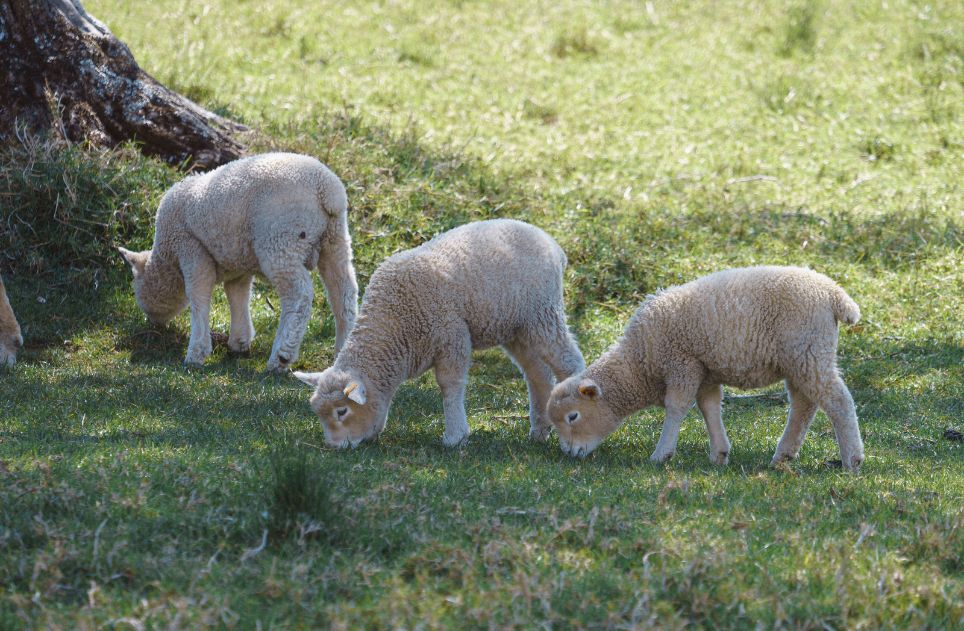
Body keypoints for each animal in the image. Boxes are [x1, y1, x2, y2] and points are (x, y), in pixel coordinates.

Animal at [119, 153, 358, 372]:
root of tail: (327, 190)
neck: (167, 259)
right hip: (335, 239)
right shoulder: (238, 264)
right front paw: (239, 342)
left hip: (280, 241)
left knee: (299, 297)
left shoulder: (191, 248)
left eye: (136, 289)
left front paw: (196, 353)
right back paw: (343, 353)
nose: (154, 324)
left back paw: (281, 357)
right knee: (343, 293)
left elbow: (198, 296)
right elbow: (237, 295)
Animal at [293, 219, 586, 448]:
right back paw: (539, 431)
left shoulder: (451, 336)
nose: (334, 447)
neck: (394, 324)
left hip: (543, 313)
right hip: (517, 327)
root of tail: (552, 244)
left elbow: (449, 385)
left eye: (342, 411)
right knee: (538, 375)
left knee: (568, 362)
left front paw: (456, 436)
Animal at [547, 266, 865, 471]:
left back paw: (852, 460)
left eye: (573, 416)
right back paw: (783, 456)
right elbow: (709, 408)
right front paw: (719, 454)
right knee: (804, 404)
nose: (569, 454)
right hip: (799, 357)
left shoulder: (682, 363)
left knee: (837, 401)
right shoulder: (705, 371)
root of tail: (833, 293)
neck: (640, 361)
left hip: (807, 350)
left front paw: (662, 454)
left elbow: (676, 407)